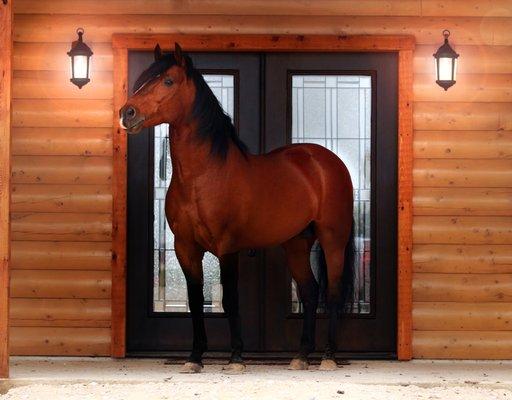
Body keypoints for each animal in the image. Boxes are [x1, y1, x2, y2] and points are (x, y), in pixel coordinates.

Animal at [120, 43, 354, 372]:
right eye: (143, 79)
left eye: (167, 81)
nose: (127, 113)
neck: (204, 175)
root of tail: (326, 161)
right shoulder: (185, 247)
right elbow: (195, 300)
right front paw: (194, 357)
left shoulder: (226, 247)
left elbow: (230, 299)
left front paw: (236, 357)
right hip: (296, 243)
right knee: (309, 291)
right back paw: (300, 356)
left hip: (333, 240)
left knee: (332, 291)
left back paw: (329, 357)